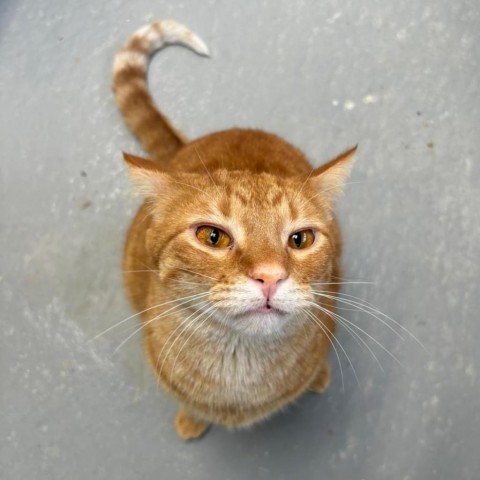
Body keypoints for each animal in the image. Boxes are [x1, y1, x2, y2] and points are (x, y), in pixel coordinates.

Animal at [113, 18, 356, 438]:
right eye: (212, 236)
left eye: (300, 239)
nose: (270, 277)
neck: (239, 379)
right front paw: (192, 419)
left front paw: (318, 376)